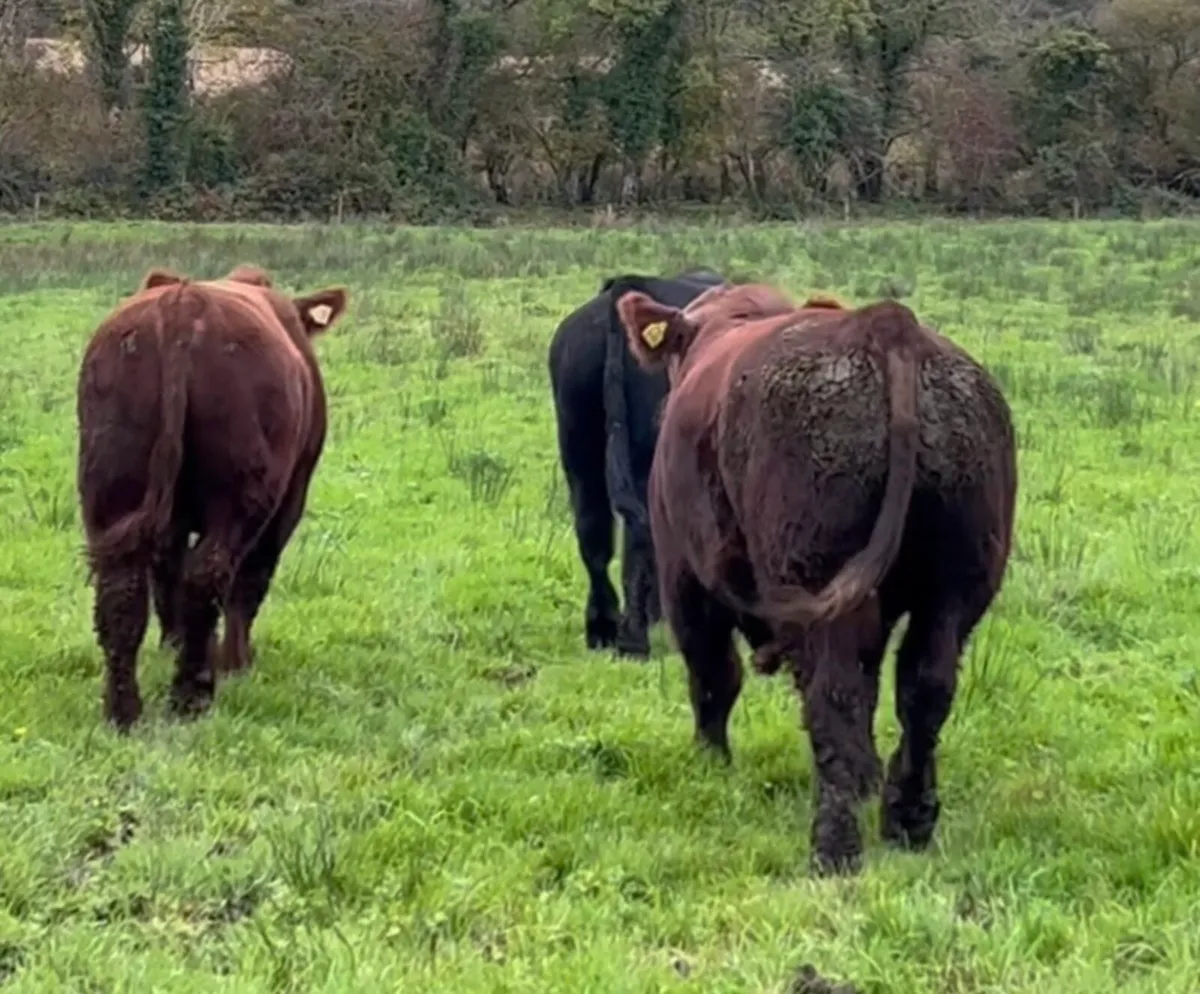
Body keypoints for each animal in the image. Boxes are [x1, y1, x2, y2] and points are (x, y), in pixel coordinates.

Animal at [76, 264, 348, 731]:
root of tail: (182, 304)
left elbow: (165, 575)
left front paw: (171, 644)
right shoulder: (289, 497)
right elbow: (249, 581)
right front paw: (236, 661)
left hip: (108, 490)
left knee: (123, 588)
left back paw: (123, 711)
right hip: (241, 496)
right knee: (210, 575)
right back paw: (192, 695)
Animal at [614, 281, 1017, 875]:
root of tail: (887, 327)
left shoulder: (683, 575)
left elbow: (713, 675)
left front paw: (710, 763)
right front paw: (868, 778)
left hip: (815, 576)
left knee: (833, 694)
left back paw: (834, 847)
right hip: (953, 590)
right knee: (924, 689)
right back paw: (907, 821)